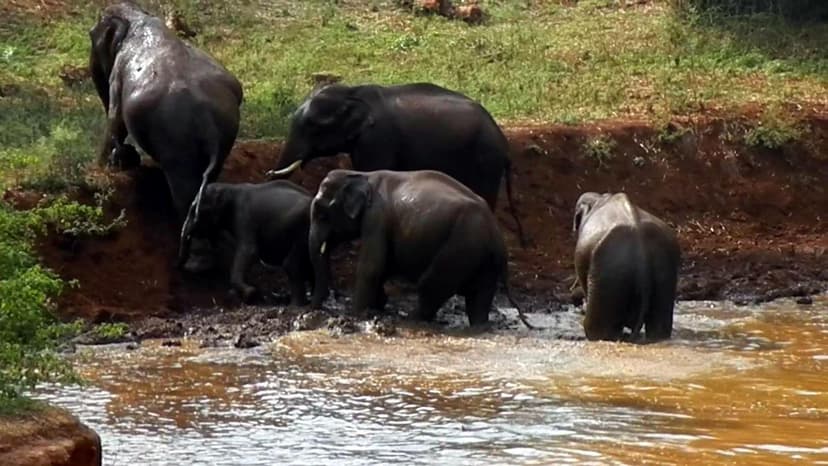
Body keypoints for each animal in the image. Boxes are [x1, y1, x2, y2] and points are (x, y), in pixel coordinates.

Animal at [89, 2, 243, 272]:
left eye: (90, 35)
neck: (137, 16)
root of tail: (209, 122)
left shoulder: (117, 75)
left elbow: (116, 120)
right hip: (225, 138)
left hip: (177, 142)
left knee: (184, 189)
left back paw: (195, 265)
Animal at [178, 180, 314, 305]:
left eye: (195, 210)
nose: (185, 268)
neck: (229, 187)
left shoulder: (243, 215)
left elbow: (249, 250)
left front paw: (250, 293)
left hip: (302, 228)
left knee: (292, 264)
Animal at [265, 82, 527, 246]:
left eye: (313, 126)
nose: (267, 172)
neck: (352, 91)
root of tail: (504, 143)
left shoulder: (377, 139)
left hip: (486, 159)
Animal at [308, 169, 535, 329]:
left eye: (321, 213)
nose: (311, 310)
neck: (362, 175)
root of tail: (498, 238)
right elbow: (384, 265)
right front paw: (378, 305)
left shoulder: (376, 218)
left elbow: (372, 267)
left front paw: (356, 315)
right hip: (483, 259)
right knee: (478, 299)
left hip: (461, 247)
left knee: (430, 285)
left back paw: (411, 320)